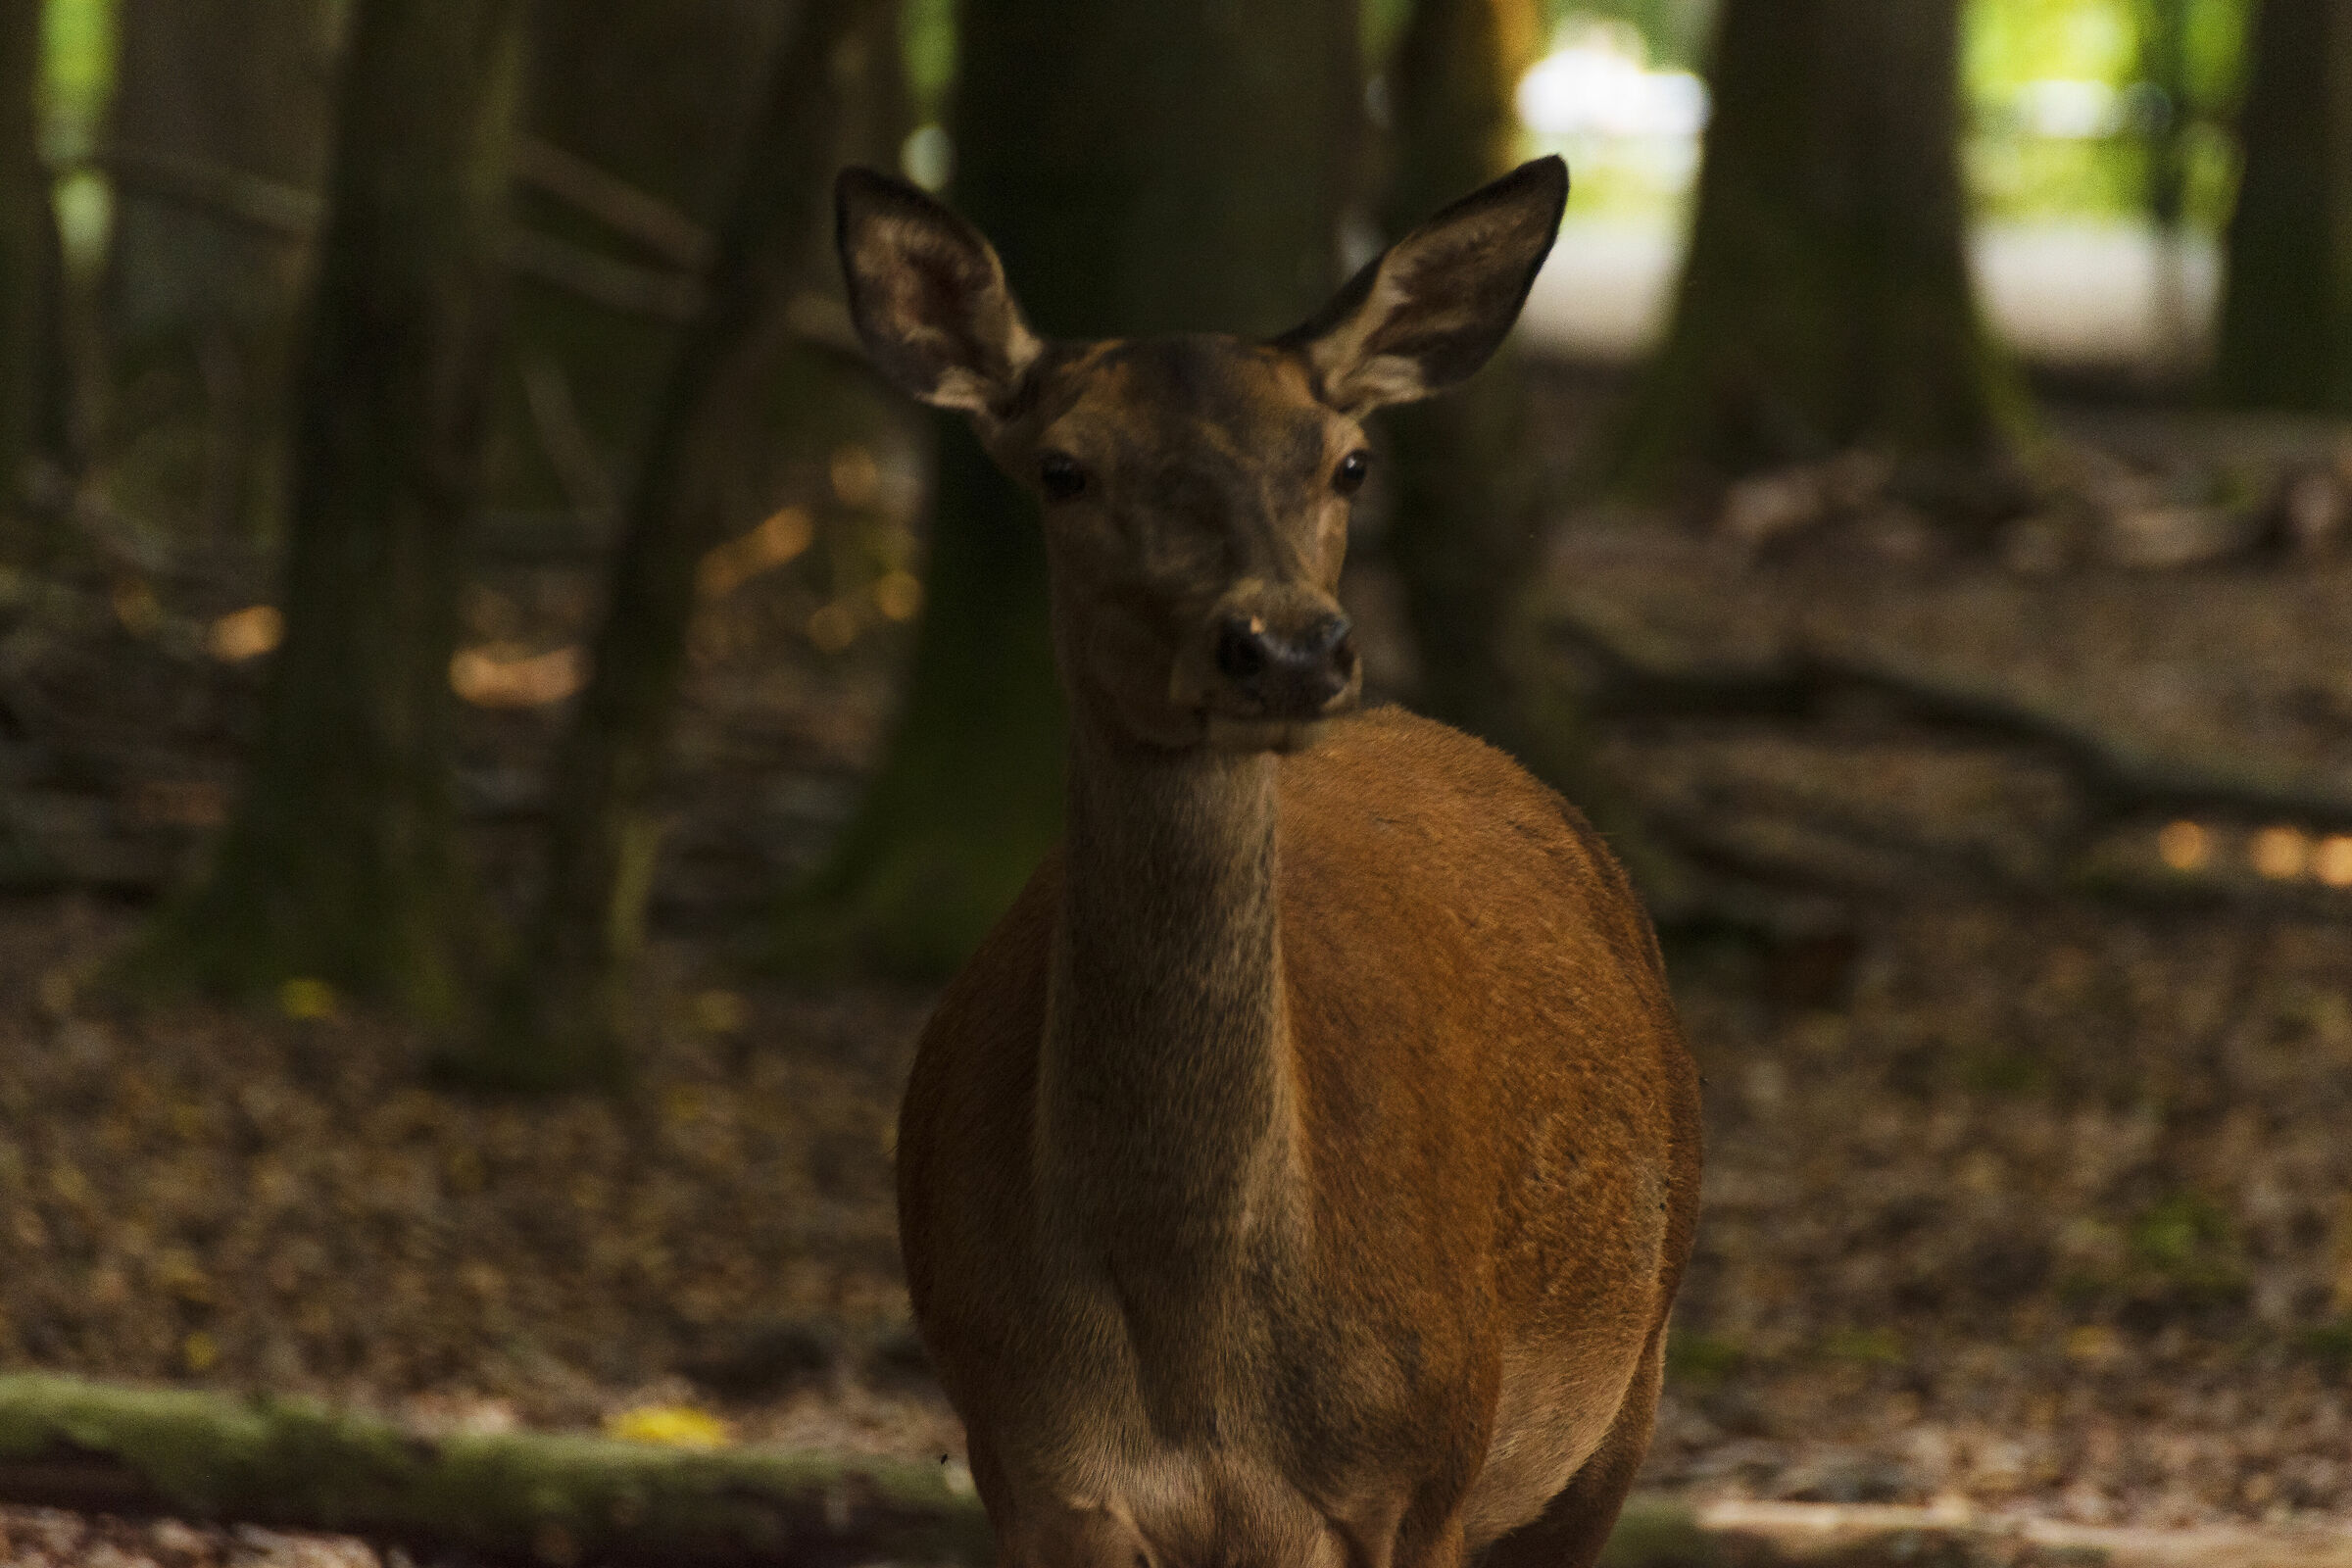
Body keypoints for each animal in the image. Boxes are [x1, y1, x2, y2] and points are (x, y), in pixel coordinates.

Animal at [835, 154, 1701, 1568]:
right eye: (1064, 467)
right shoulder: (1029, 1463)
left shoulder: (1420, 1475)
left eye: (1349, 461)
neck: (1192, 1342)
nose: (1287, 647)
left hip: (1625, 1387)